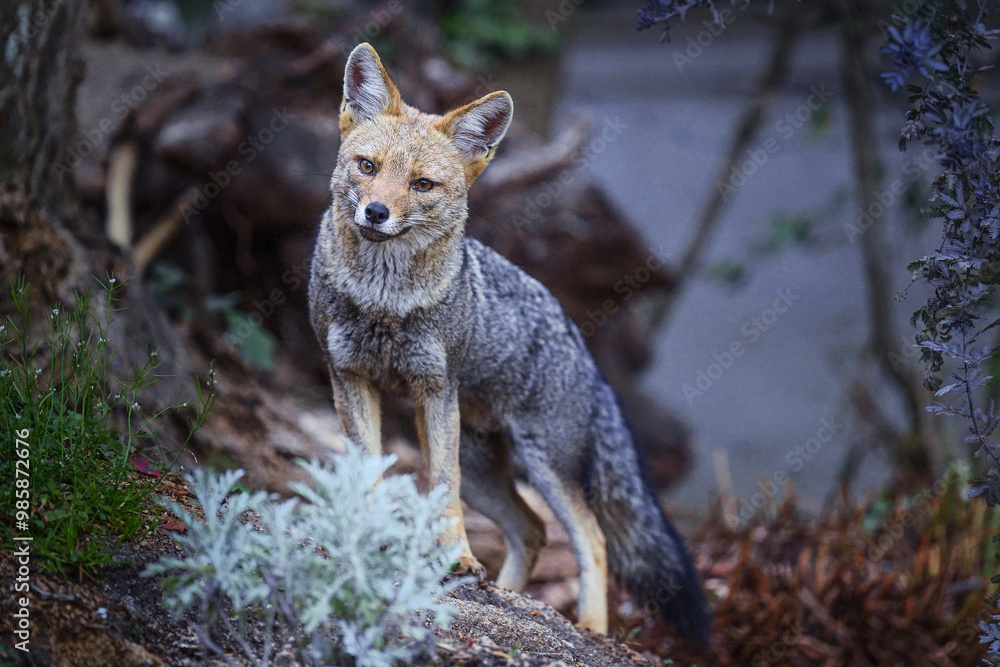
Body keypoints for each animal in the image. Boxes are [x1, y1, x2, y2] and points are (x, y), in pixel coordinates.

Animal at [308, 42, 712, 646]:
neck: (385, 301)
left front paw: (455, 557)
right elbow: (368, 473)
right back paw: (513, 597)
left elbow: (441, 488)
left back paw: (588, 626)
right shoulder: (348, 378)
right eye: (368, 166)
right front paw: (368, 535)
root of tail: (588, 355)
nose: (376, 213)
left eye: (422, 185)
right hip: (484, 467)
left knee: (590, 538)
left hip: (540, 464)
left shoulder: (435, 390)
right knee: (534, 530)